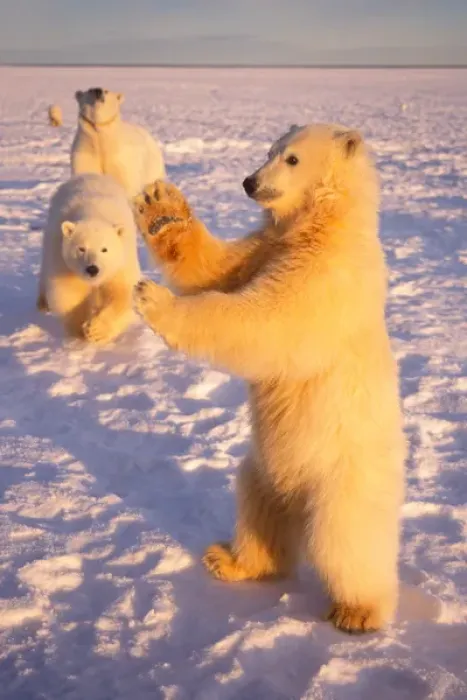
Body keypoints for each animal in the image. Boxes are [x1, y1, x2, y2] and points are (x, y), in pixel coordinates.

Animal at [37, 173, 141, 344]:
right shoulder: (63, 262)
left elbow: (122, 292)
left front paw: (95, 330)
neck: (93, 212)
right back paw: (42, 304)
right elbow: (67, 292)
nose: (92, 269)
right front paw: (79, 329)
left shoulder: (121, 263)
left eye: (104, 249)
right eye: (81, 248)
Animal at [132, 123, 406, 634]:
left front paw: (153, 298)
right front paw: (160, 204)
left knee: (345, 541)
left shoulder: (328, 277)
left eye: (292, 159)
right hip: (263, 467)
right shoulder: (264, 247)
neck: (324, 224)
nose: (249, 182)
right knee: (258, 510)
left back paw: (358, 611)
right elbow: (215, 269)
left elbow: (265, 320)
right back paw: (229, 560)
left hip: (344, 478)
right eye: (268, 151)